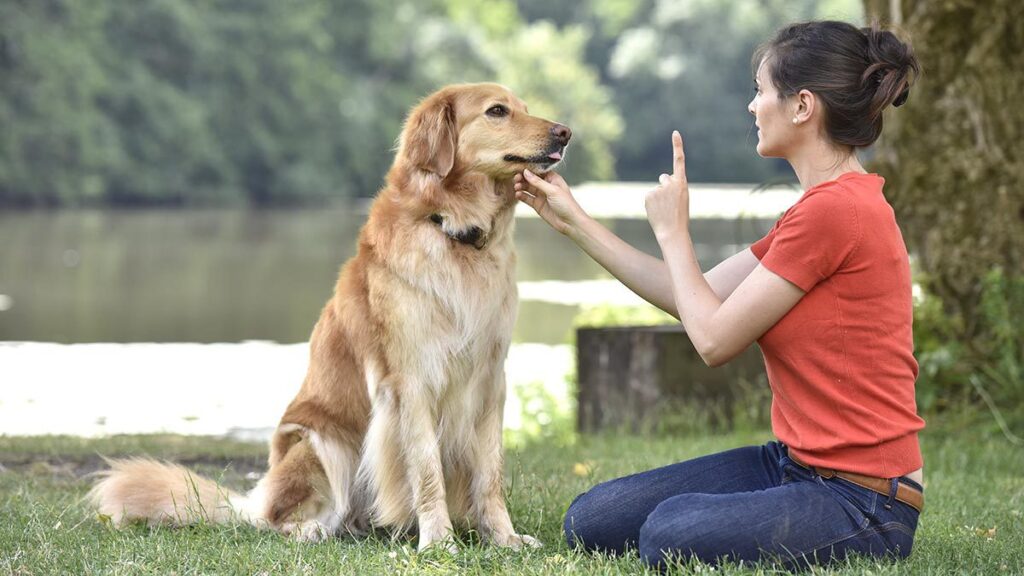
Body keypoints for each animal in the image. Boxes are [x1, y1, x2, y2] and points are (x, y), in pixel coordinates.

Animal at [87, 83, 569, 549]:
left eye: (524, 108)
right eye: (497, 111)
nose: (565, 132)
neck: (453, 231)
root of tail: (252, 501)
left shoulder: (489, 379)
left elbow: (490, 474)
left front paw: (503, 537)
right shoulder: (411, 381)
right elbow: (427, 468)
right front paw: (438, 542)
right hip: (320, 443)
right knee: (277, 520)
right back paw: (313, 530)